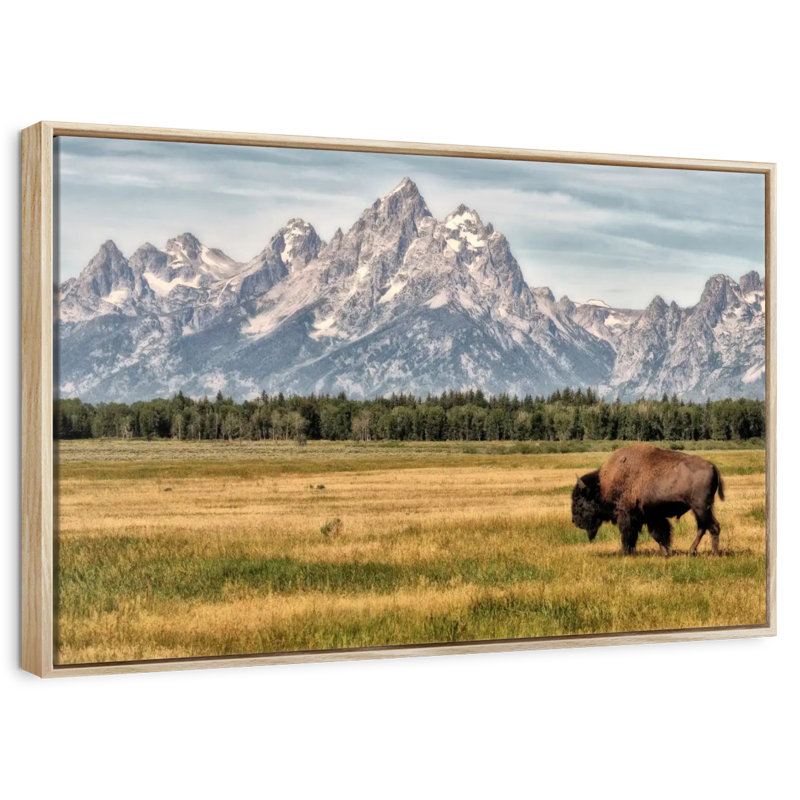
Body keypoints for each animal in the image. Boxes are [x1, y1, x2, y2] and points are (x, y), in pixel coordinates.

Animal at [571, 444, 725, 556]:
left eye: (579, 501)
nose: (574, 521)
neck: (603, 485)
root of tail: (712, 466)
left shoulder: (627, 515)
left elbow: (629, 534)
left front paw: (625, 553)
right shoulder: (652, 516)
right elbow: (660, 534)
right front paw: (665, 553)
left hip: (701, 507)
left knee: (713, 527)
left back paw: (713, 554)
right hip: (699, 509)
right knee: (703, 528)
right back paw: (691, 551)